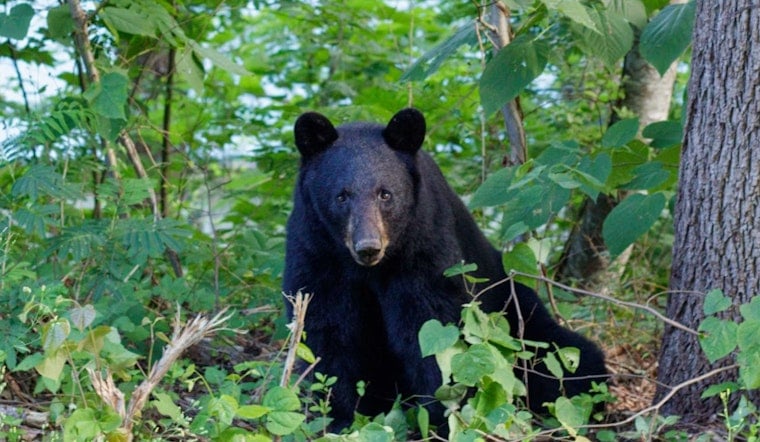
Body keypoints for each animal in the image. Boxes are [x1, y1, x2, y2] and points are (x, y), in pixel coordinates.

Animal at [282, 108, 607, 431]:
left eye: (385, 194)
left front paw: (443, 416)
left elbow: (430, 326)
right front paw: (339, 418)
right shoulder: (317, 253)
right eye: (341, 196)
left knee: (568, 358)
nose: (368, 246)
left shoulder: (424, 245)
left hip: (520, 314)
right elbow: (329, 332)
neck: (370, 269)